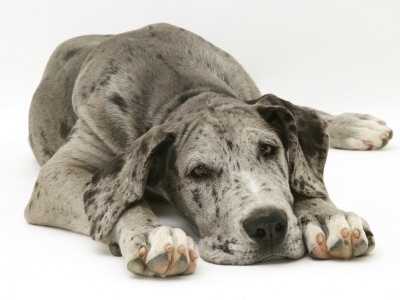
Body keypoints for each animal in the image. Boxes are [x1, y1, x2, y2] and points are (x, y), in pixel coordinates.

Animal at [25, 22, 394, 276]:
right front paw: (153, 234)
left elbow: (302, 177)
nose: (268, 224)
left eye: (268, 150)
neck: (185, 93)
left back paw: (354, 124)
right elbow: (121, 199)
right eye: (198, 171)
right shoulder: (59, 172)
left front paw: (326, 216)